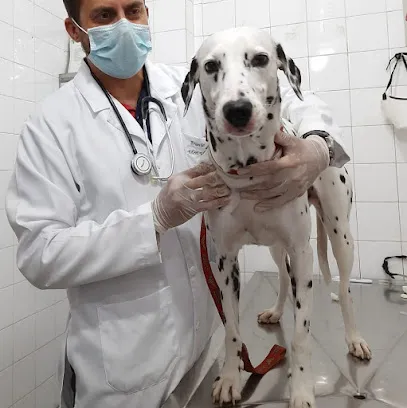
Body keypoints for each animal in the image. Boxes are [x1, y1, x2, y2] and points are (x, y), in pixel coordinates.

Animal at [182, 27, 372, 406]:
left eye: (260, 59)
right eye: (210, 66)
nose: (237, 110)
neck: (249, 171)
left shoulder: (302, 254)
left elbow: (301, 336)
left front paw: (301, 389)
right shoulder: (224, 262)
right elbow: (232, 331)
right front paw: (230, 377)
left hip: (340, 237)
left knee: (344, 291)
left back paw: (354, 338)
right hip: (274, 247)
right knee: (282, 278)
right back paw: (276, 310)